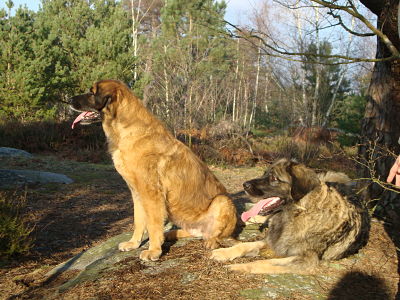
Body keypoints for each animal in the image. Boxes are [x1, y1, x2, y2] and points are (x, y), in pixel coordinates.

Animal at [70, 79, 236, 260]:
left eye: (92, 92)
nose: (69, 100)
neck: (126, 130)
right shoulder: (136, 193)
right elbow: (138, 221)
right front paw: (134, 243)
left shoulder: (151, 194)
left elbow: (153, 224)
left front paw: (154, 250)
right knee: (195, 233)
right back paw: (171, 234)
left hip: (222, 201)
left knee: (216, 234)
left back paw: (211, 242)